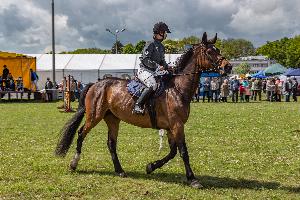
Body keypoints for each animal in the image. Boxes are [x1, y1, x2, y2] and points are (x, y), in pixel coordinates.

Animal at [54, 32, 232, 188]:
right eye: (209, 52)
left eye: (218, 50)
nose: (228, 67)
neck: (178, 88)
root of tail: (95, 84)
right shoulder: (177, 125)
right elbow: (183, 151)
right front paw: (192, 179)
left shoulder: (171, 127)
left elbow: (173, 152)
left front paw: (151, 166)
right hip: (94, 116)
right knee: (80, 134)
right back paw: (73, 164)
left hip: (112, 119)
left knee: (111, 144)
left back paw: (120, 171)